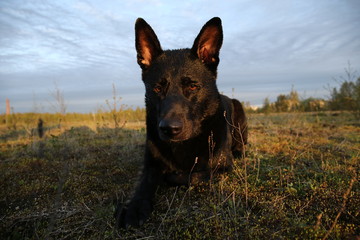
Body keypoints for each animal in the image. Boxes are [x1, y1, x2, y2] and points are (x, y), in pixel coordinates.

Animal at [115, 17, 248, 229]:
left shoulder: (222, 167)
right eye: (157, 88)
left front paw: (169, 176)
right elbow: (144, 182)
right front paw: (134, 206)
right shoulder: (149, 164)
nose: (169, 129)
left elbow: (193, 175)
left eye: (192, 86)